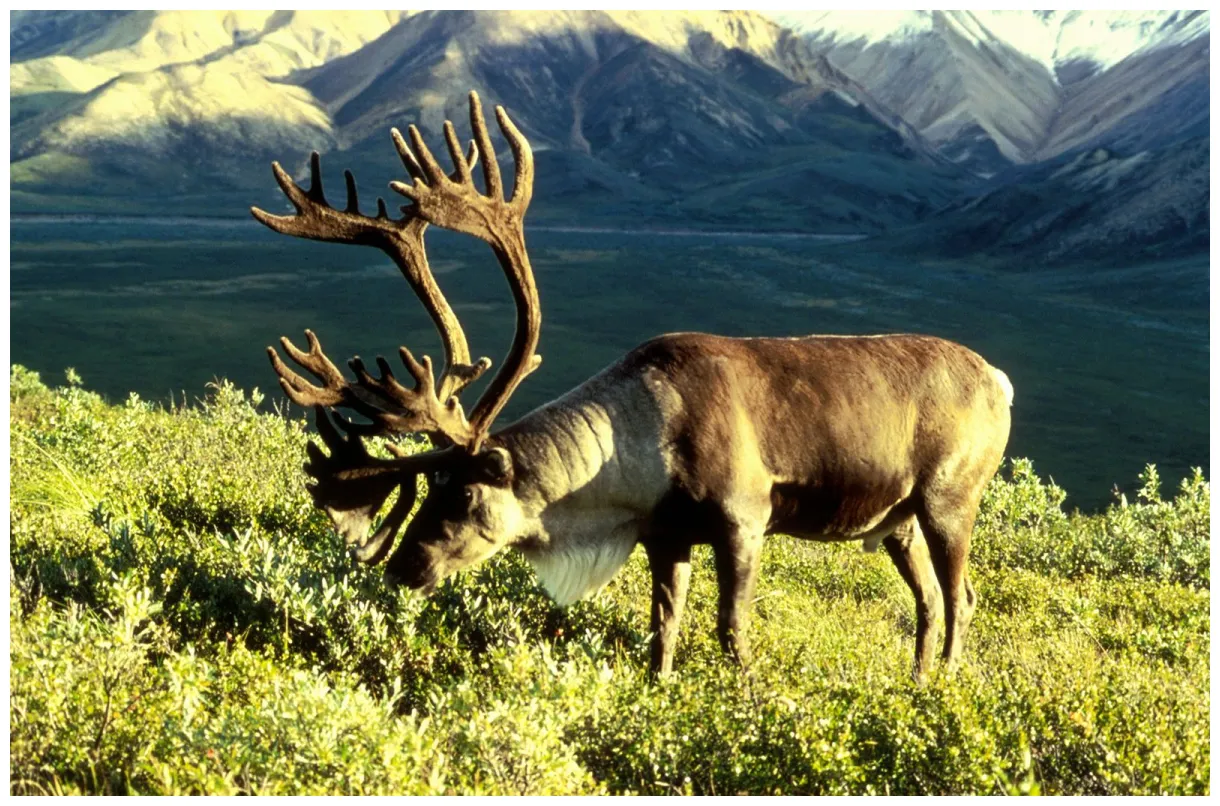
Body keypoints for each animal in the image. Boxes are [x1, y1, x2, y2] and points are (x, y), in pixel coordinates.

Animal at [251, 91, 1013, 680]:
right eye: (429, 486)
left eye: (464, 494)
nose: (404, 568)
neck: (634, 455)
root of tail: (1000, 379)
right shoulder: (664, 536)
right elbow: (663, 629)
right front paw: (659, 691)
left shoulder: (745, 517)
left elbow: (731, 631)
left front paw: (746, 700)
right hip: (896, 520)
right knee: (929, 599)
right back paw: (914, 684)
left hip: (949, 499)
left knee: (962, 598)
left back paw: (944, 689)